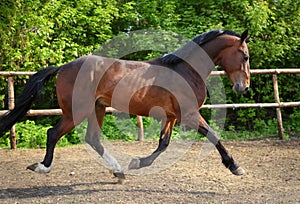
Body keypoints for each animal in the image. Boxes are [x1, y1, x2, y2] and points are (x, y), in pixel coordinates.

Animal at [0, 28, 250, 183]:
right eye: (245, 56)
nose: (244, 87)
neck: (185, 69)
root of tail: (64, 67)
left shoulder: (171, 116)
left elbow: (163, 144)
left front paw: (137, 162)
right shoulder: (189, 114)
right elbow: (214, 136)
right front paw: (235, 166)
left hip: (97, 108)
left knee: (93, 139)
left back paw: (119, 172)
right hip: (76, 112)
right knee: (53, 133)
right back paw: (42, 167)